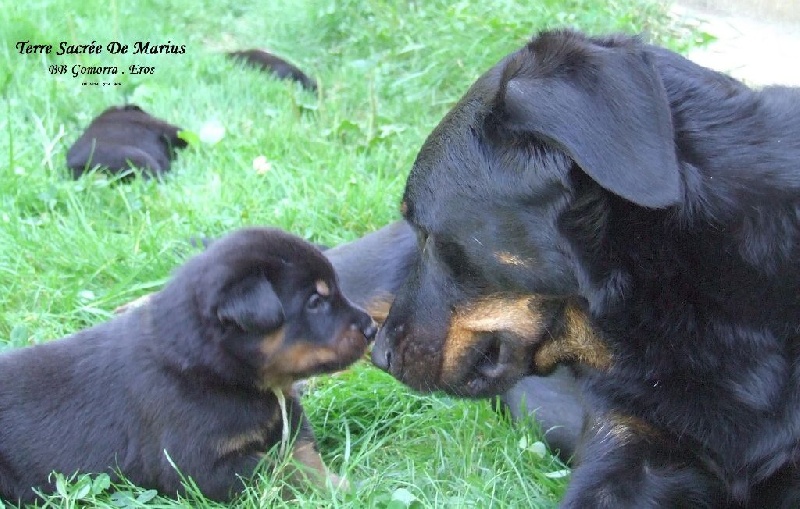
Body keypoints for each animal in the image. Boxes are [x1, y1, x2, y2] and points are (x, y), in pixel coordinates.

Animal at [0, 227, 376, 504]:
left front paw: (343, 487)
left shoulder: (286, 415)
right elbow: (277, 469)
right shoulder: (196, 463)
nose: (372, 328)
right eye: (315, 302)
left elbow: (304, 455)